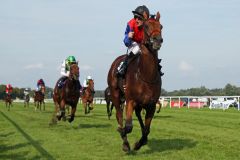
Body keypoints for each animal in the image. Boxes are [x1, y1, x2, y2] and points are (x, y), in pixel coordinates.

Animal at [108, 11, 163, 152]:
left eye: (161, 26)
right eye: (146, 26)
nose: (157, 40)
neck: (146, 74)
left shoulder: (151, 104)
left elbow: (147, 130)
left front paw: (139, 143)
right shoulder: (130, 100)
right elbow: (128, 126)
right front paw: (124, 138)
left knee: (138, 115)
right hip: (115, 95)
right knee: (119, 116)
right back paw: (124, 138)